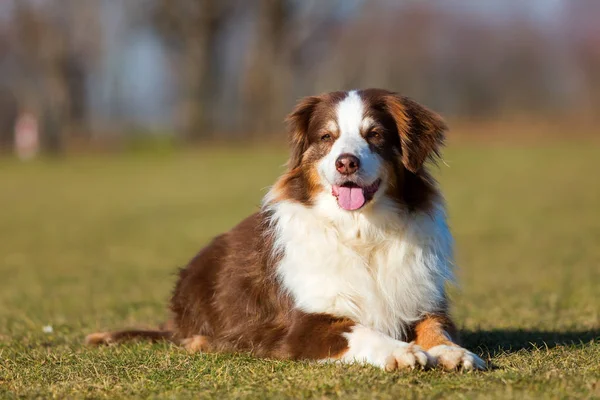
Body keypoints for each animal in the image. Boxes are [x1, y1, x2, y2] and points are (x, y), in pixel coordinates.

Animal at [85, 88, 488, 372]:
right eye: (326, 137)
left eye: (374, 135)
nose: (346, 163)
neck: (361, 231)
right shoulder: (302, 324)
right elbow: (358, 328)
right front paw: (402, 351)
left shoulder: (423, 300)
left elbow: (436, 328)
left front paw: (452, 352)